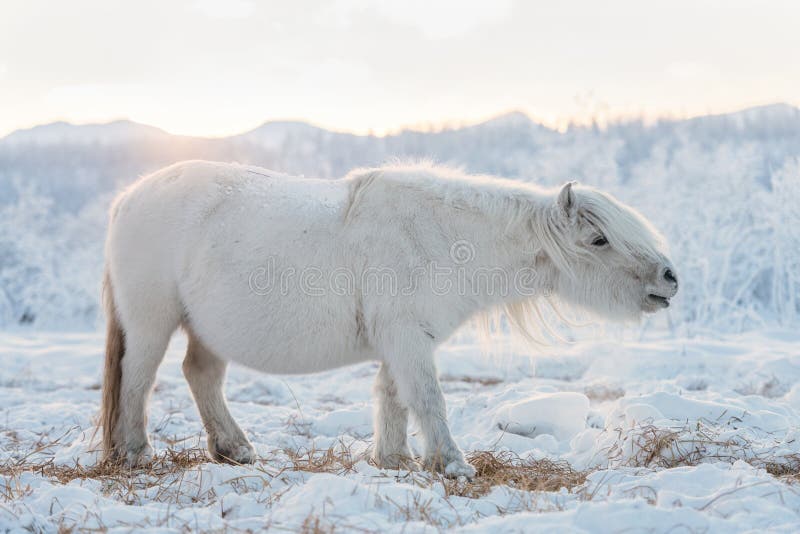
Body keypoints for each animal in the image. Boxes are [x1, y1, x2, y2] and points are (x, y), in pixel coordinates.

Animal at [98, 161, 676, 480]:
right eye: (599, 239)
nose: (670, 279)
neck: (443, 238)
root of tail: (128, 198)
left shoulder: (405, 340)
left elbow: (393, 397)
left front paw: (395, 460)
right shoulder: (406, 338)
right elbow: (427, 398)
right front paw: (451, 464)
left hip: (206, 330)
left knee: (201, 377)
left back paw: (235, 449)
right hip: (152, 323)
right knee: (138, 380)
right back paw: (137, 453)